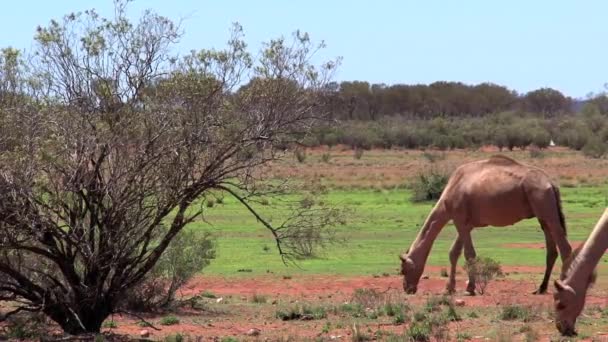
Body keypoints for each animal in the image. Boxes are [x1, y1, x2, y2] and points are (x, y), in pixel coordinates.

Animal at [402, 156, 572, 296]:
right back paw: (540, 288)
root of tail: (551, 184)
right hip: (543, 214)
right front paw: (449, 288)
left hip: (544, 204)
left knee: (565, 248)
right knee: (551, 251)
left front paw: (469, 289)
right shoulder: (466, 223)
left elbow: (469, 254)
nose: (407, 288)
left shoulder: (459, 219)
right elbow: (454, 253)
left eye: (404, 269)